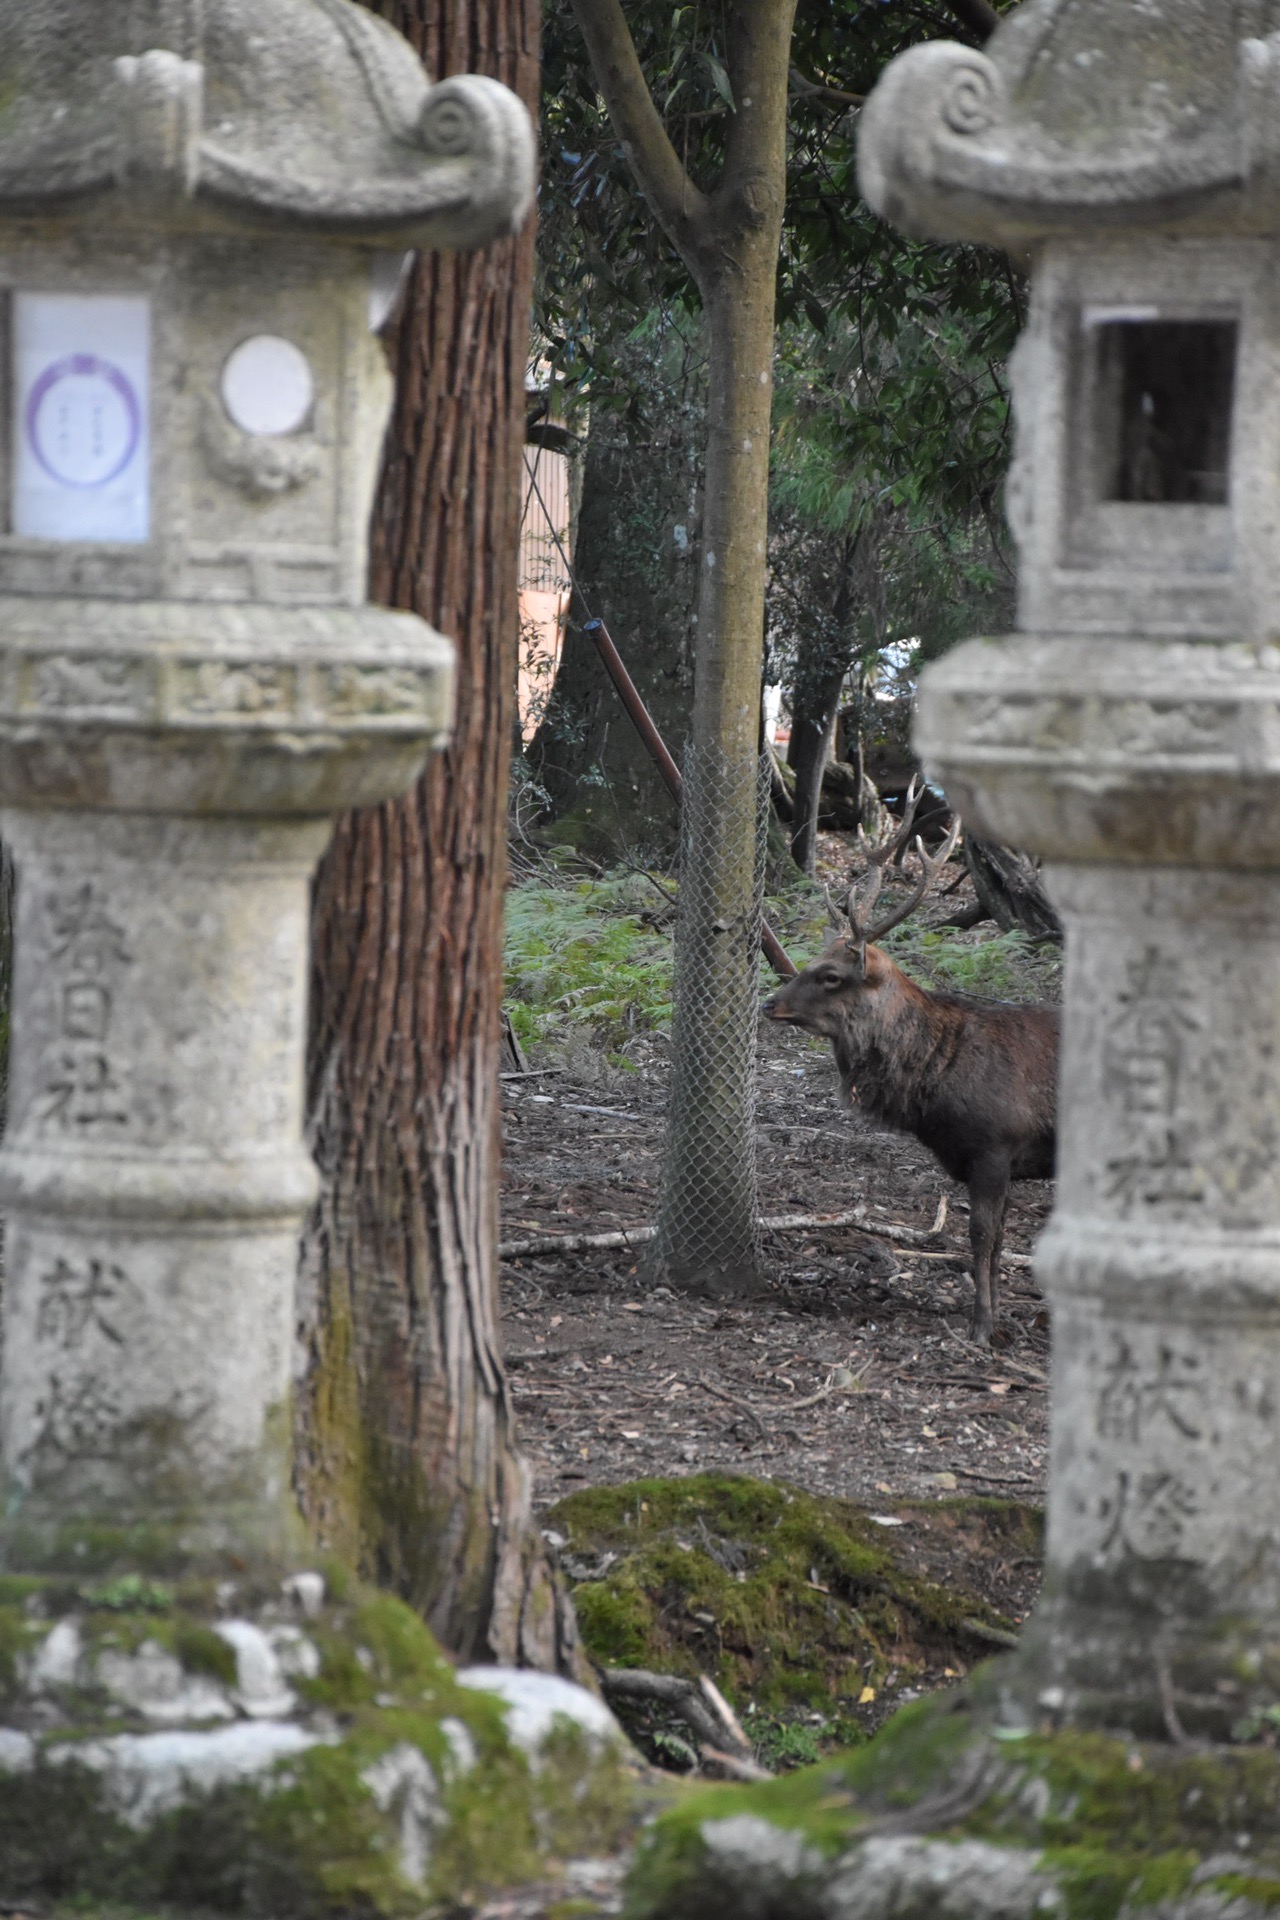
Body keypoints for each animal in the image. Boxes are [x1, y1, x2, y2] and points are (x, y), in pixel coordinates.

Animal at [759, 787, 1059, 1344]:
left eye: (830, 976)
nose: (770, 1003)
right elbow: (1001, 1240)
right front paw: (998, 1316)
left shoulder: (995, 1143)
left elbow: (981, 1237)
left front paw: (981, 1326)